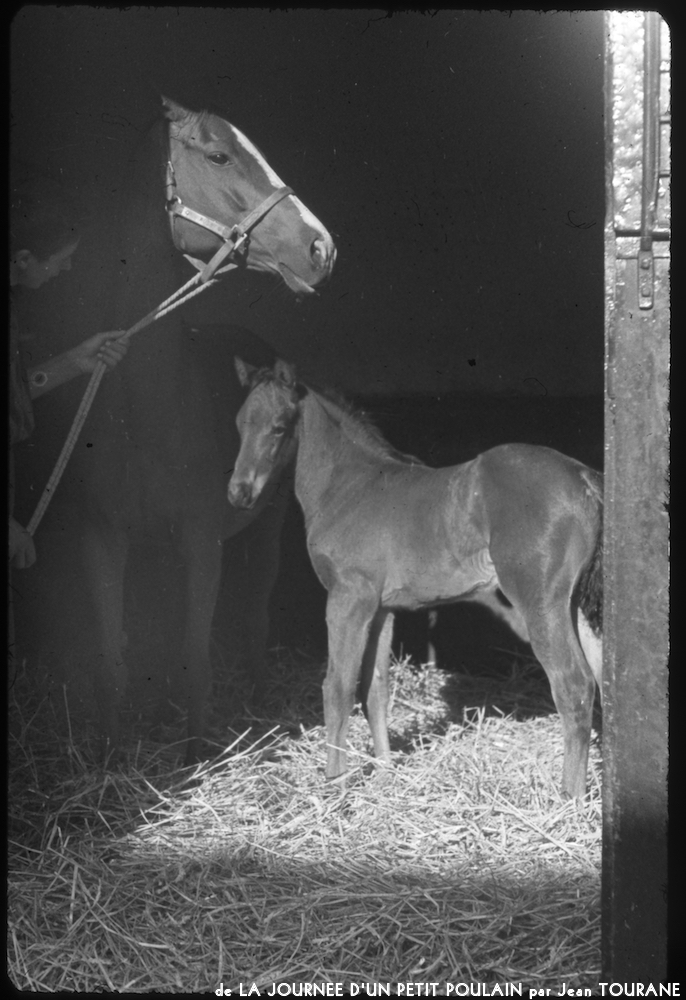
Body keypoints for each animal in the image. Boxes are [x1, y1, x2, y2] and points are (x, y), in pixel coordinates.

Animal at [37, 97, 336, 763]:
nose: (321, 247)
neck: (146, 411)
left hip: (265, 528)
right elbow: (113, 660)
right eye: (219, 155)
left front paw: (198, 752)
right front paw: (113, 753)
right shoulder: (103, 540)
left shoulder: (204, 543)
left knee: (254, 613)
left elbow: (196, 656)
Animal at [227, 359, 604, 799]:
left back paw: (568, 798)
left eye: (279, 426)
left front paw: (334, 780)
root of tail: (582, 476)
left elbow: (337, 687)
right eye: (240, 423)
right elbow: (374, 689)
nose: (239, 494)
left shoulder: (348, 599)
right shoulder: (381, 609)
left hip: (541, 602)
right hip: (576, 606)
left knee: (574, 686)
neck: (350, 488)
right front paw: (384, 770)